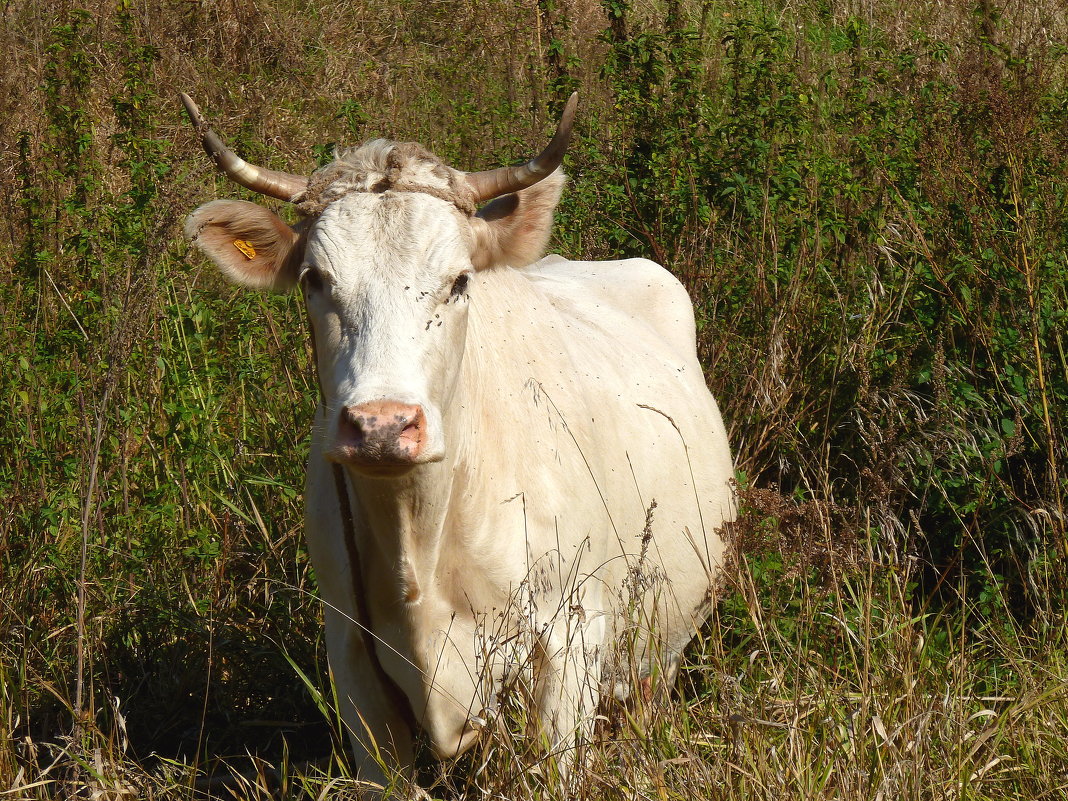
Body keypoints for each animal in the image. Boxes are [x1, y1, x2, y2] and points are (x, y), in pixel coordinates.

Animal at [183, 93, 734, 790]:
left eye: (460, 281)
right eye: (314, 279)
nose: (383, 425)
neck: (421, 540)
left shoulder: (571, 640)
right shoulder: (353, 658)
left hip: (661, 643)